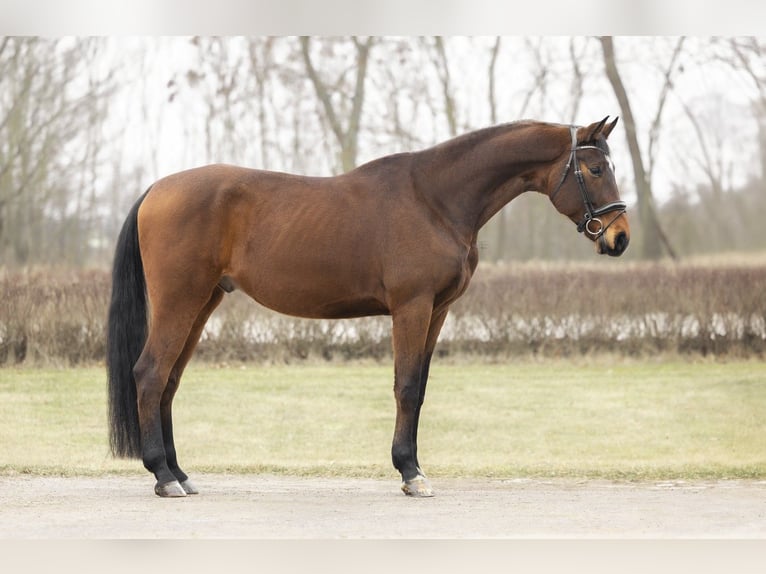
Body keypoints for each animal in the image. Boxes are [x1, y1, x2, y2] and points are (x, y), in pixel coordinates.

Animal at [107, 117, 630, 498]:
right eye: (595, 170)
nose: (620, 238)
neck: (434, 199)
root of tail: (156, 190)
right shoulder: (412, 307)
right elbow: (406, 387)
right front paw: (410, 474)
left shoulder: (438, 311)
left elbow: (419, 388)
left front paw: (412, 467)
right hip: (181, 299)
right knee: (151, 374)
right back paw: (164, 477)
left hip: (203, 302)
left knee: (169, 381)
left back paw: (180, 473)